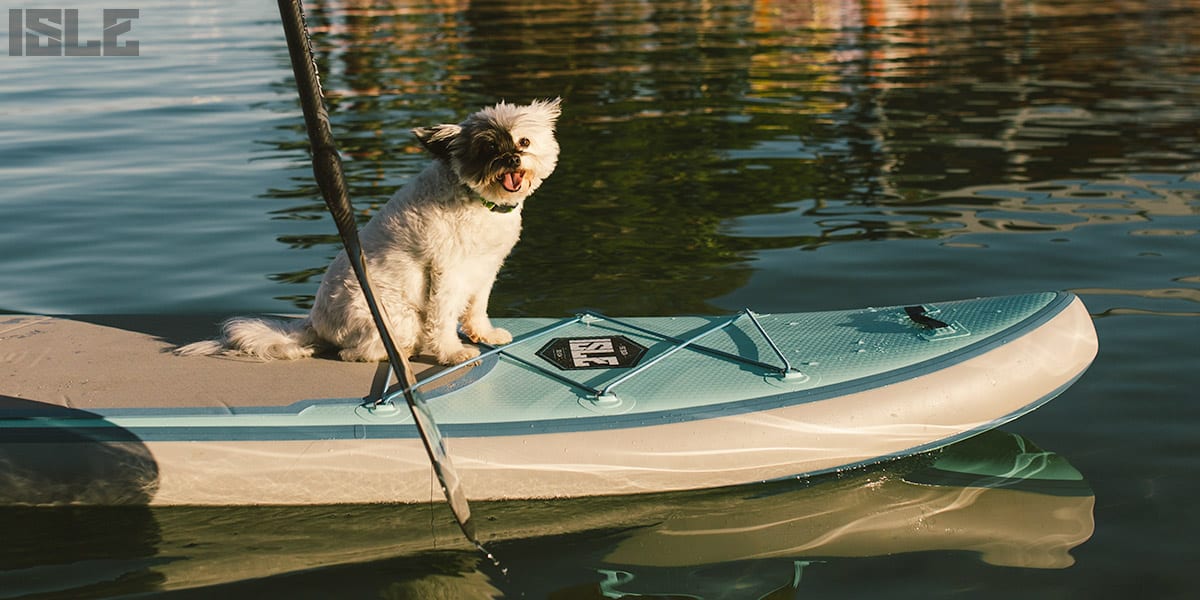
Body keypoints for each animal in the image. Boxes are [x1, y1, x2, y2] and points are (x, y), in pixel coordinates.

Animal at [177, 97, 561, 364]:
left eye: (524, 142)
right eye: (489, 148)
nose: (511, 160)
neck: (478, 201)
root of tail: (315, 322)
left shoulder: (485, 269)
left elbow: (477, 307)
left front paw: (484, 334)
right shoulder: (446, 273)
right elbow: (443, 316)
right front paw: (452, 353)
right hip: (397, 317)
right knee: (357, 352)